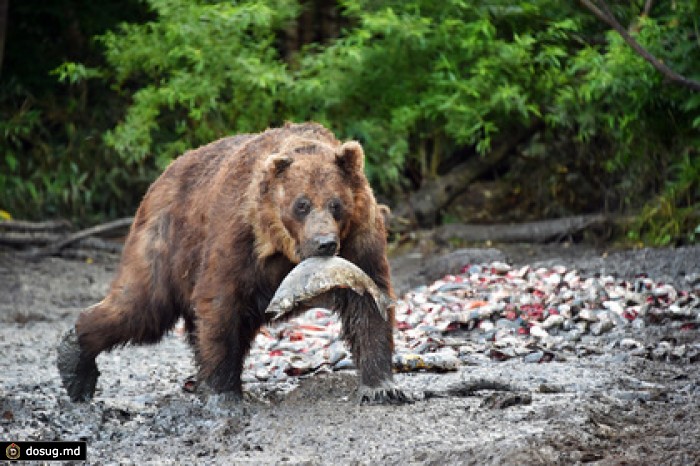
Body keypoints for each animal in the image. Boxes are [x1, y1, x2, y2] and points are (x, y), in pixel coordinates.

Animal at [60, 123, 410, 404]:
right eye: (302, 204)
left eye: (336, 205)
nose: (324, 243)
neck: (282, 249)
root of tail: (161, 178)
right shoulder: (239, 237)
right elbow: (219, 302)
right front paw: (222, 393)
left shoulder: (359, 240)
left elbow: (369, 301)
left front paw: (382, 387)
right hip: (165, 240)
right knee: (141, 306)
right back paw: (74, 363)